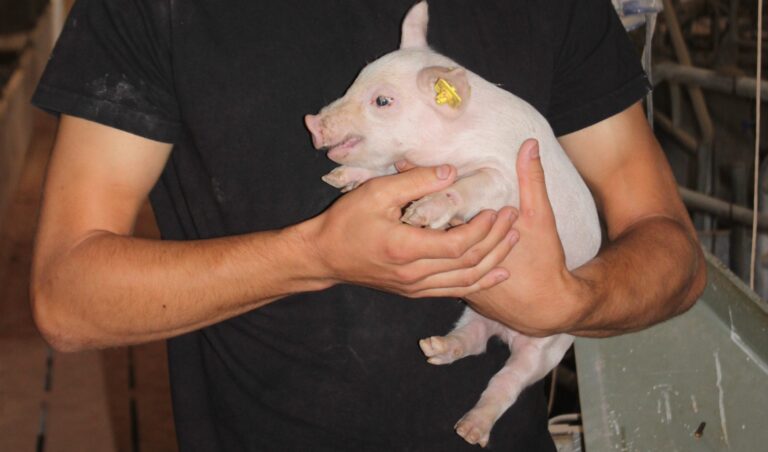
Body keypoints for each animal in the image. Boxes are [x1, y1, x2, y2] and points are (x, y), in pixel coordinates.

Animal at [304, 1, 601, 448]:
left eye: (383, 101)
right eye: (356, 79)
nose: (311, 122)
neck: (450, 144)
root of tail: (505, 331)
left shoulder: (503, 176)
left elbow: (472, 185)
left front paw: (419, 215)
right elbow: (383, 170)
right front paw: (338, 179)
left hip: (548, 347)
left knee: (508, 381)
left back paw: (469, 432)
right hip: (474, 314)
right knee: (472, 343)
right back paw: (433, 349)